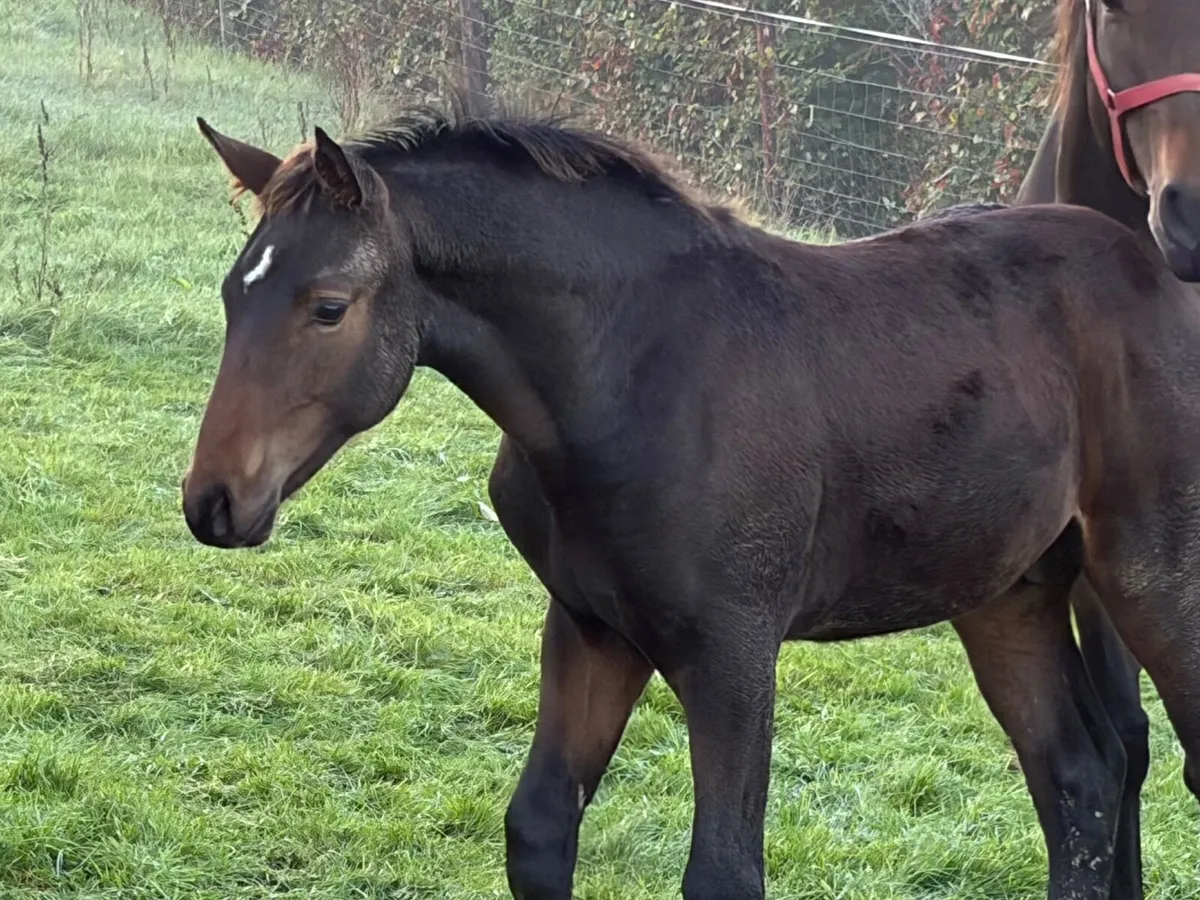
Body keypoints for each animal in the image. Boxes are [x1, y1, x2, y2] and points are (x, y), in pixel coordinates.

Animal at [181, 109, 1200, 900]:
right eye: (233, 293)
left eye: (328, 307)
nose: (213, 501)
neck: (630, 377)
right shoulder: (593, 627)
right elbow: (539, 829)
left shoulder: (732, 649)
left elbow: (723, 870)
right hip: (1007, 594)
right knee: (1080, 780)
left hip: (1152, 580)